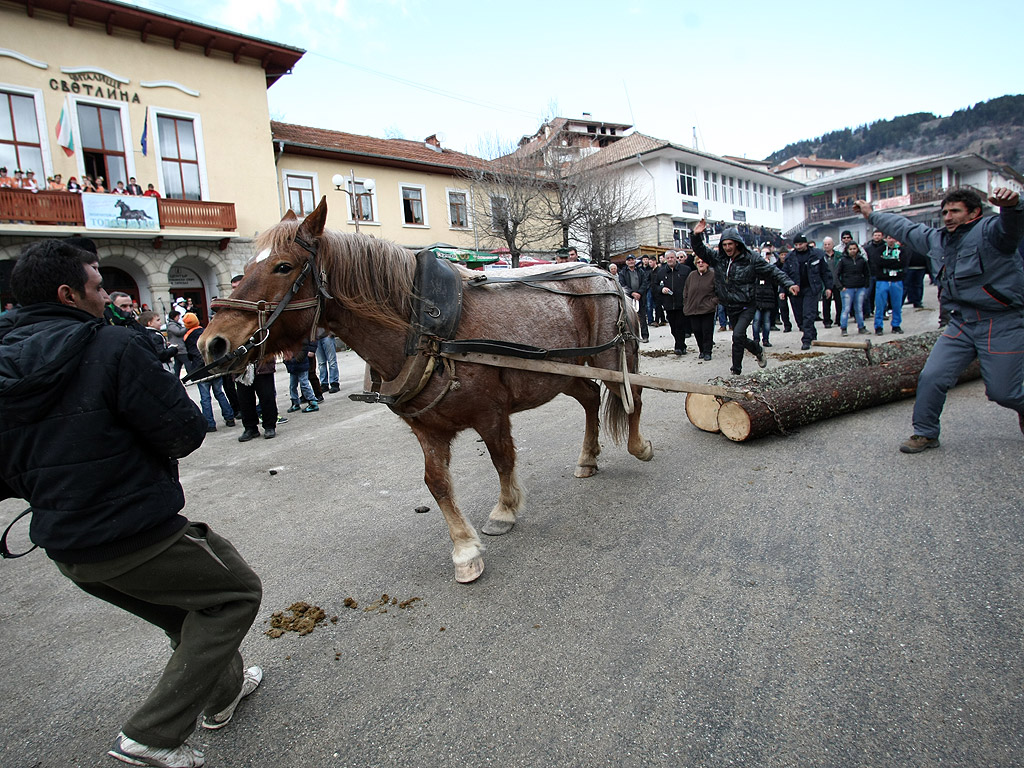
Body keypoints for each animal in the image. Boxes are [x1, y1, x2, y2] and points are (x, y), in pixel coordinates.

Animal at [197, 198, 647, 581]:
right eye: (250, 266)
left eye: (283, 267)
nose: (210, 343)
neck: (427, 331)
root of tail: (603, 272)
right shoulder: (426, 427)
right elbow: (436, 483)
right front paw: (465, 551)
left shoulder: (491, 414)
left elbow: (502, 461)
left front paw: (504, 511)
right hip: (561, 372)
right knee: (589, 398)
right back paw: (587, 458)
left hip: (612, 357)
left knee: (632, 398)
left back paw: (638, 445)